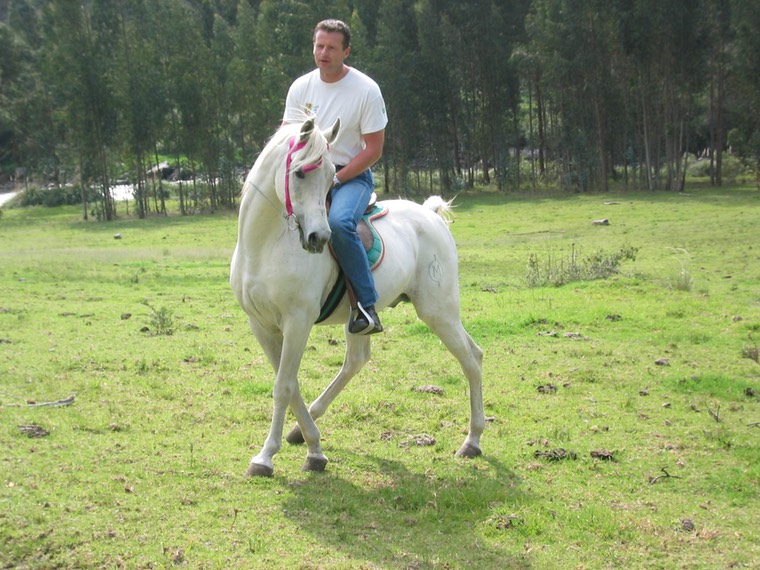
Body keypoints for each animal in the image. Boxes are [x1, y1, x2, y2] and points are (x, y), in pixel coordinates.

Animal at [229, 116, 484, 474]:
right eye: (299, 173)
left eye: (329, 177)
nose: (319, 237)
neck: (264, 247)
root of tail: (430, 215)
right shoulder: (261, 325)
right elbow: (290, 384)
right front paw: (314, 450)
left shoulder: (297, 321)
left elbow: (283, 386)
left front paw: (265, 457)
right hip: (364, 317)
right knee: (357, 361)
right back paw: (299, 432)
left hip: (439, 310)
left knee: (470, 359)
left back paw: (472, 442)